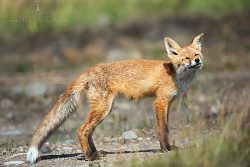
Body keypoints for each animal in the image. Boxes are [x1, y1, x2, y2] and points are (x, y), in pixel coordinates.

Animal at [26, 33, 204, 162]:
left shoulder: (168, 103)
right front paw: (165, 149)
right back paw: (89, 157)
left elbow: (165, 127)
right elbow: (163, 128)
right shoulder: (160, 102)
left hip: (105, 109)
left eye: (196, 54)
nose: (197, 60)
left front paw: (167, 148)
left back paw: (95, 153)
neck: (175, 74)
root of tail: (89, 69)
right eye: (186, 58)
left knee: (88, 131)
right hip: (103, 109)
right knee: (81, 130)